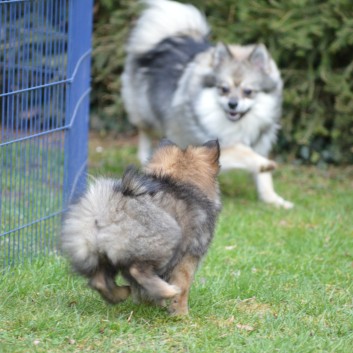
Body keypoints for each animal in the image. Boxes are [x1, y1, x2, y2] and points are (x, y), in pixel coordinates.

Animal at [60, 139, 220, 314]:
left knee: (100, 280)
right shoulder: (188, 258)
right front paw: (181, 314)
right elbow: (183, 288)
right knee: (138, 271)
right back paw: (167, 291)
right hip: (165, 242)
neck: (179, 181)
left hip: (91, 252)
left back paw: (121, 293)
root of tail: (108, 208)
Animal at [122, 0, 292, 208]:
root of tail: (172, 36)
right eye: (224, 89)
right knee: (144, 130)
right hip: (145, 110)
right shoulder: (202, 143)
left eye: (248, 91)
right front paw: (262, 164)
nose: (233, 104)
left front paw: (274, 199)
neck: (236, 125)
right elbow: (241, 150)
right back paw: (144, 155)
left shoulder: (259, 143)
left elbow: (263, 177)